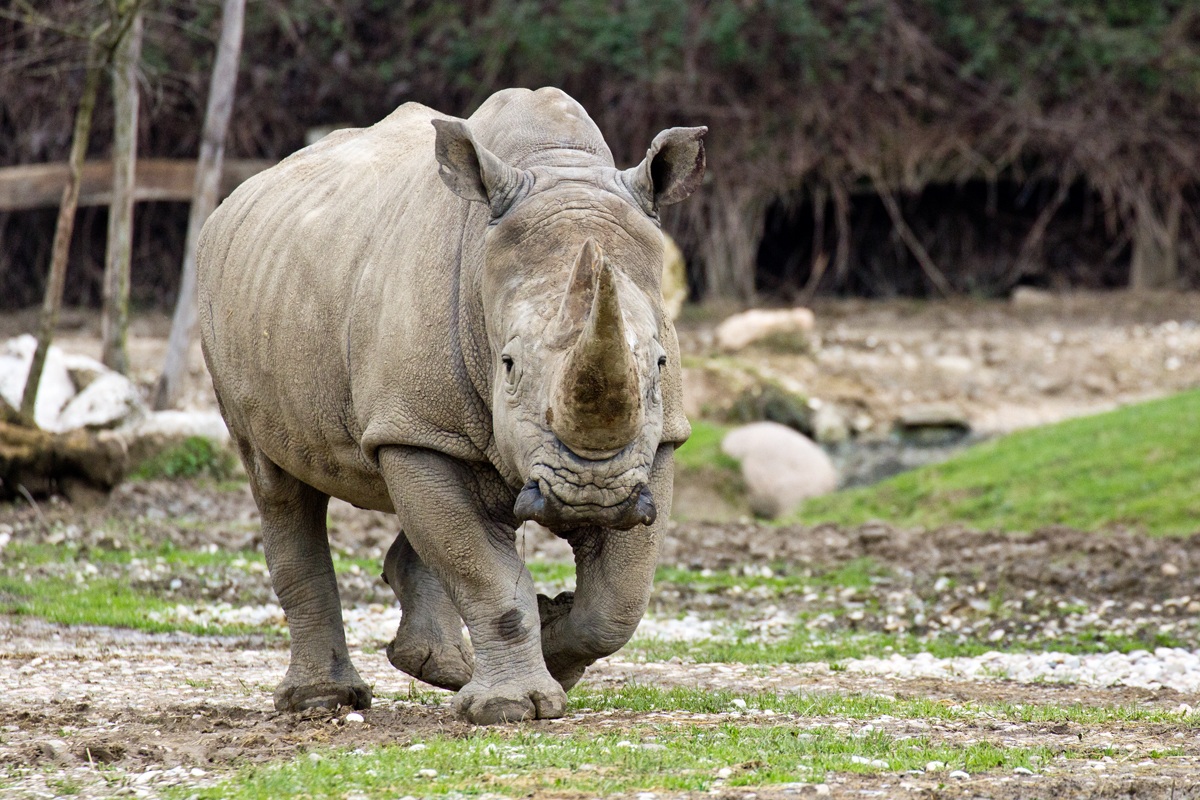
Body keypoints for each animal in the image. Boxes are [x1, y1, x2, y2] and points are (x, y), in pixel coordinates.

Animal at [198, 87, 705, 724]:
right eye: (507, 365)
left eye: (659, 364)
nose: (591, 495)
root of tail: (234, 201)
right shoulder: (415, 424)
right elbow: (483, 573)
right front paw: (512, 707)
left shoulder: (658, 439)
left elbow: (619, 599)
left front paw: (555, 639)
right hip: (229, 308)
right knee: (278, 484)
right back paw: (323, 701)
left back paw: (441, 669)